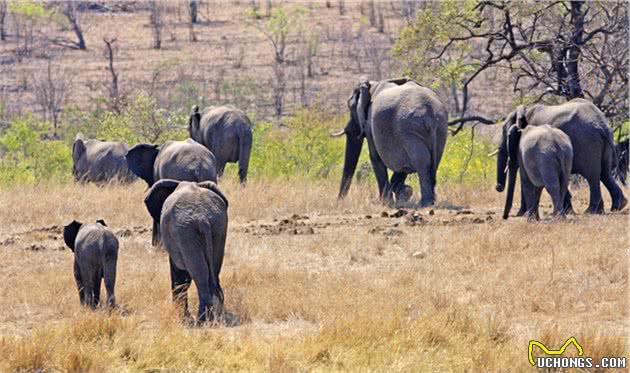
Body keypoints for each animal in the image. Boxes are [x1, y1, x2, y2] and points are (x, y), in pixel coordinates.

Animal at [146, 179, 230, 322]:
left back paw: (202, 320)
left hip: (186, 232)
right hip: (218, 228)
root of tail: (203, 219)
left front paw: (182, 316)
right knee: (214, 270)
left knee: (200, 274)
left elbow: (179, 272)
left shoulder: (177, 239)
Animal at [334, 76, 452, 206]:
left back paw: (424, 203)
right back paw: (429, 201)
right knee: (431, 164)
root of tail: (430, 115)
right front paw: (403, 192)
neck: (372, 86)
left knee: (422, 165)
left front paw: (387, 202)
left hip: (410, 129)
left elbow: (375, 158)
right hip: (440, 129)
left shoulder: (370, 125)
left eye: (351, 108)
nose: (339, 201)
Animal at [498, 99, 628, 215]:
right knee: (604, 173)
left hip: (588, 142)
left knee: (592, 176)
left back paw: (592, 211)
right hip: (602, 143)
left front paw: (522, 214)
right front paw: (568, 210)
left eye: (505, 134)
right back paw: (618, 206)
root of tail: (603, 125)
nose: (498, 187)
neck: (524, 110)